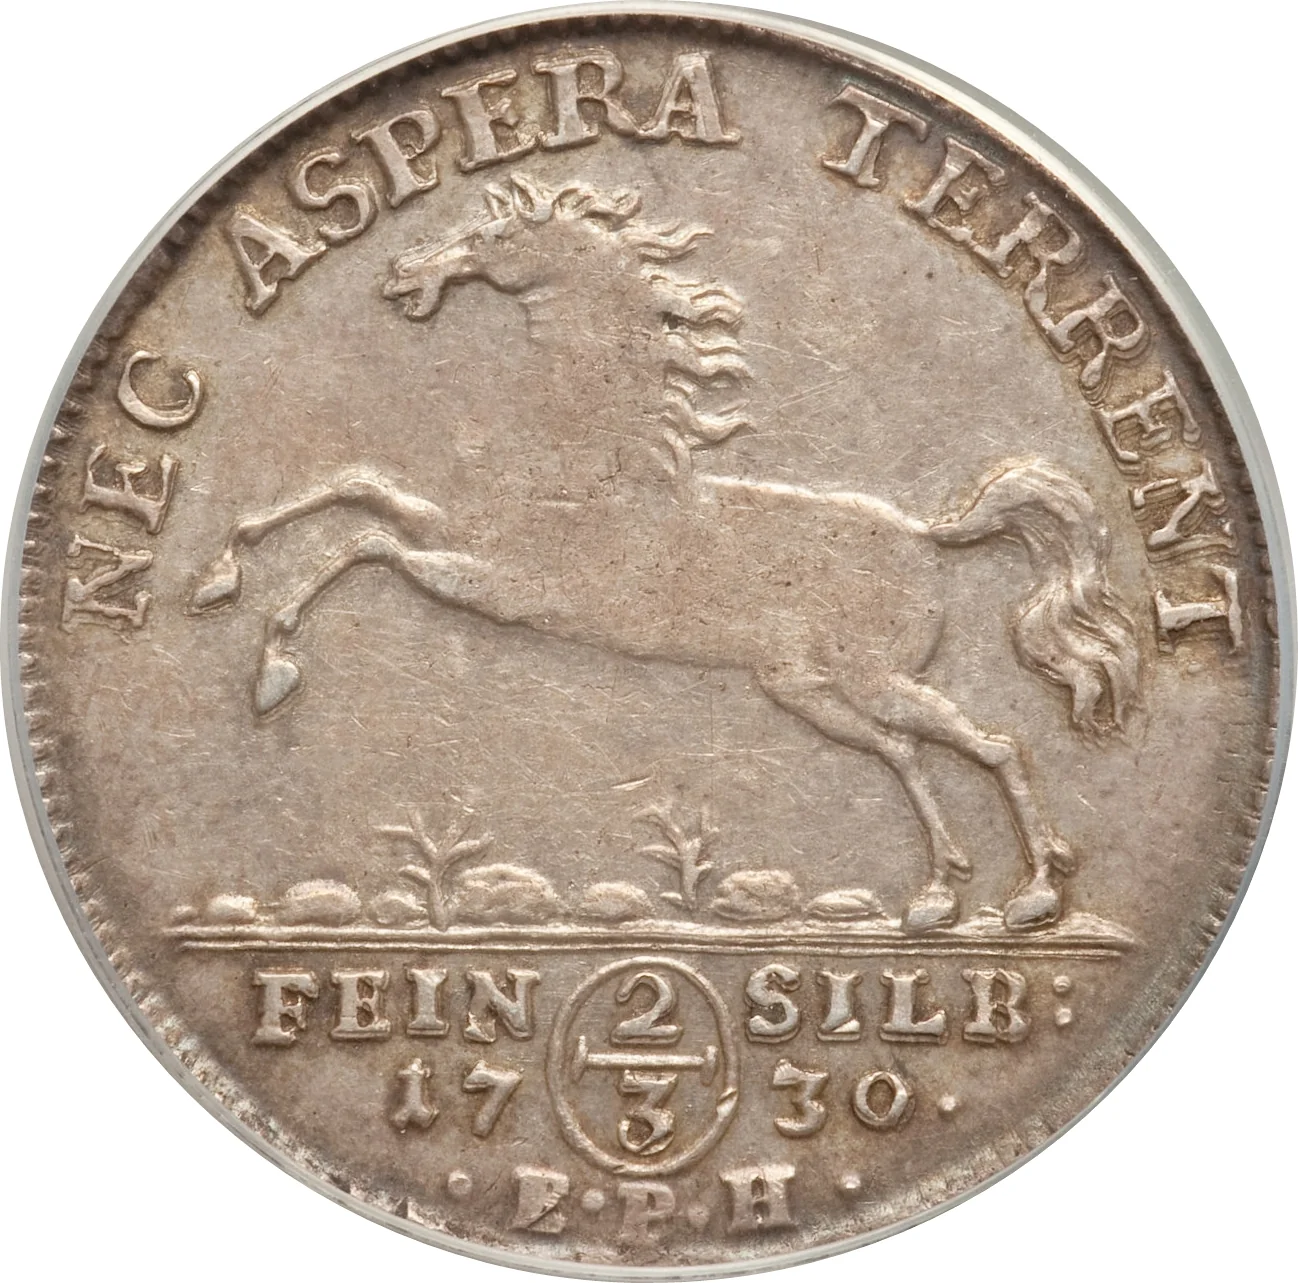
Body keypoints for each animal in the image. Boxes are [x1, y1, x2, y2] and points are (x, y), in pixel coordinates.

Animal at [190, 173, 1141, 934]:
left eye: (493, 237)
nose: (401, 274)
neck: (588, 454)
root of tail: (924, 534)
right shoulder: (458, 527)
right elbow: (351, 487)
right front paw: (217, 576)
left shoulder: (495, 581)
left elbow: (363, 541)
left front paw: (272, 667)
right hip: (804, 686)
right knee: (907, 751)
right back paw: (939, 897)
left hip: (865, 676)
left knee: (994, 744)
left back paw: (1032, 898)